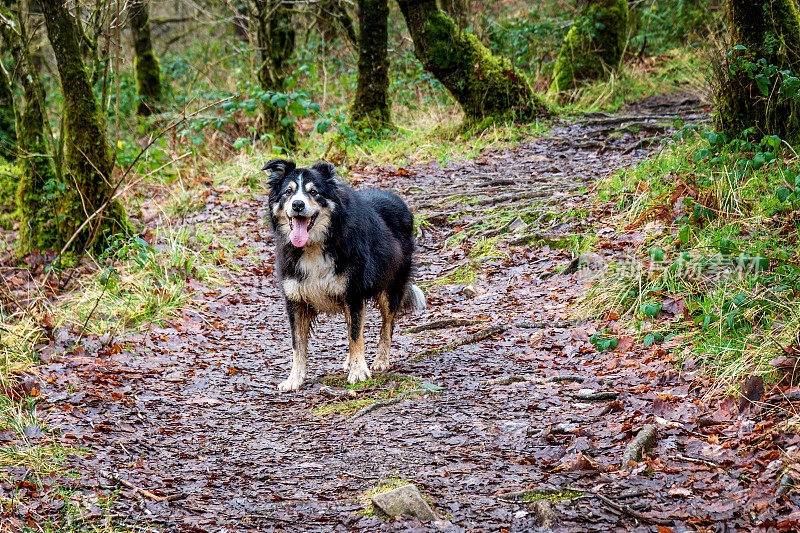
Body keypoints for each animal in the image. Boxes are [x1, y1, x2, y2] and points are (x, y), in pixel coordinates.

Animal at [262, 159, 424, 390]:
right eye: (288, 192)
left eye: (314, 192)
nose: (297, 205)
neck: (314, 245)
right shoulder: (296, 299)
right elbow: (297, 344)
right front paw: (294, 379)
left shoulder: (353, 293)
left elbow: (356, 335)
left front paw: (359, 372)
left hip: (391, 286)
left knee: (387, 324)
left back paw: (380, 360)